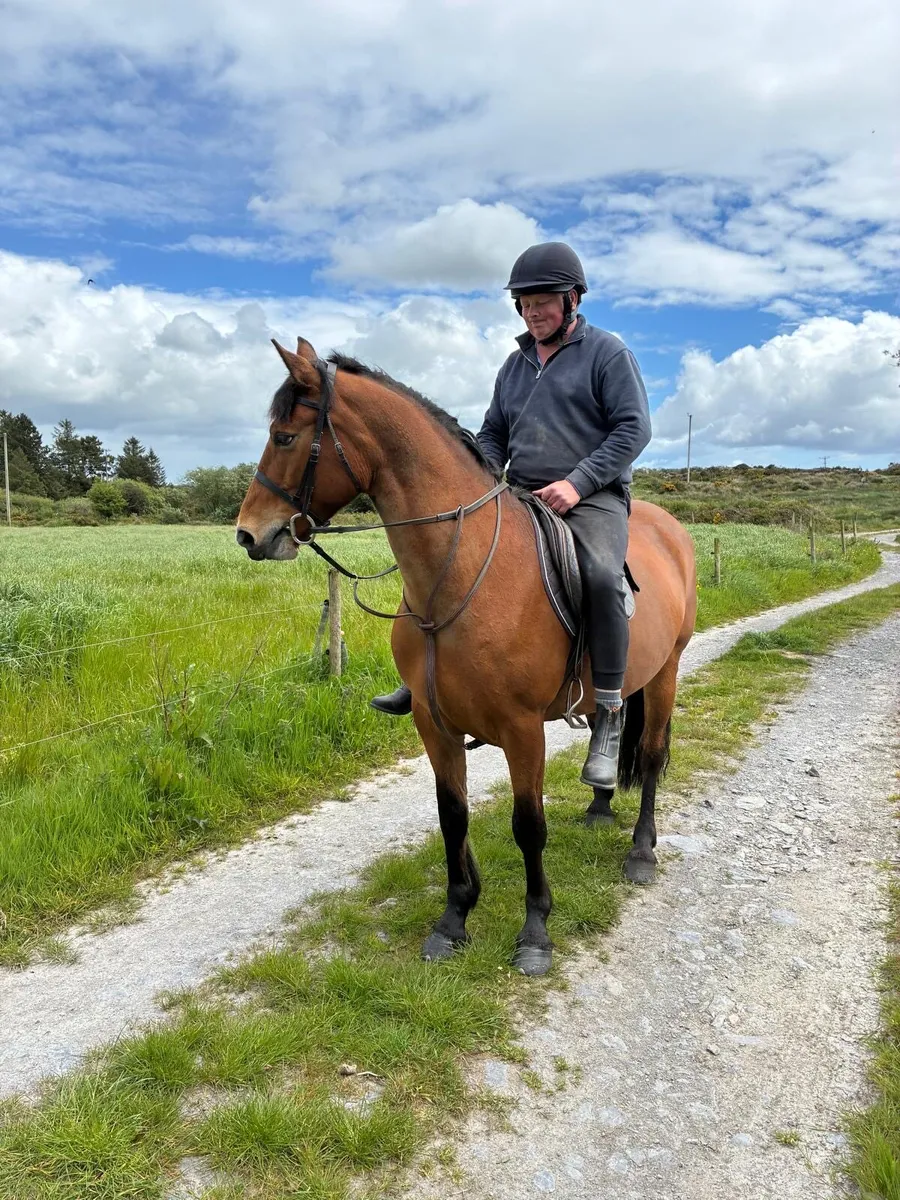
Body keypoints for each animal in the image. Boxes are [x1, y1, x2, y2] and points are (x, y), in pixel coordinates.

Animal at [236, 338, 697, 976]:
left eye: (284, 436)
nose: (248, 535)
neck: (461, 569)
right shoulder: (434, 722)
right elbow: (451, 814)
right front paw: (454, 918)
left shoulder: (523, 729)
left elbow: (528, 825)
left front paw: (535, 932)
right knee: (614, 719)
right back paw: (600, 803)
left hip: (666, 672)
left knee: (651, 757)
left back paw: (641, 851)